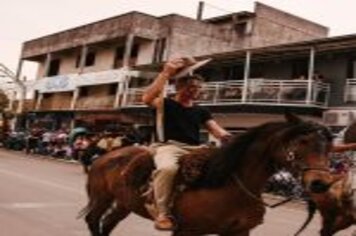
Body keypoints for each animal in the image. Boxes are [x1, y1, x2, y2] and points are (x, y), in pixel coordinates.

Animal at [82, 113, 336, 235]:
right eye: (302, 141)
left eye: (327, 146)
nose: (320, 183)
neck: (230, 184)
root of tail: (106, 154)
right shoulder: (188, 231)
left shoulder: (239, 232)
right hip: (101, 198)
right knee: (93, 220)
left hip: (125, 203)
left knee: (108, 223)